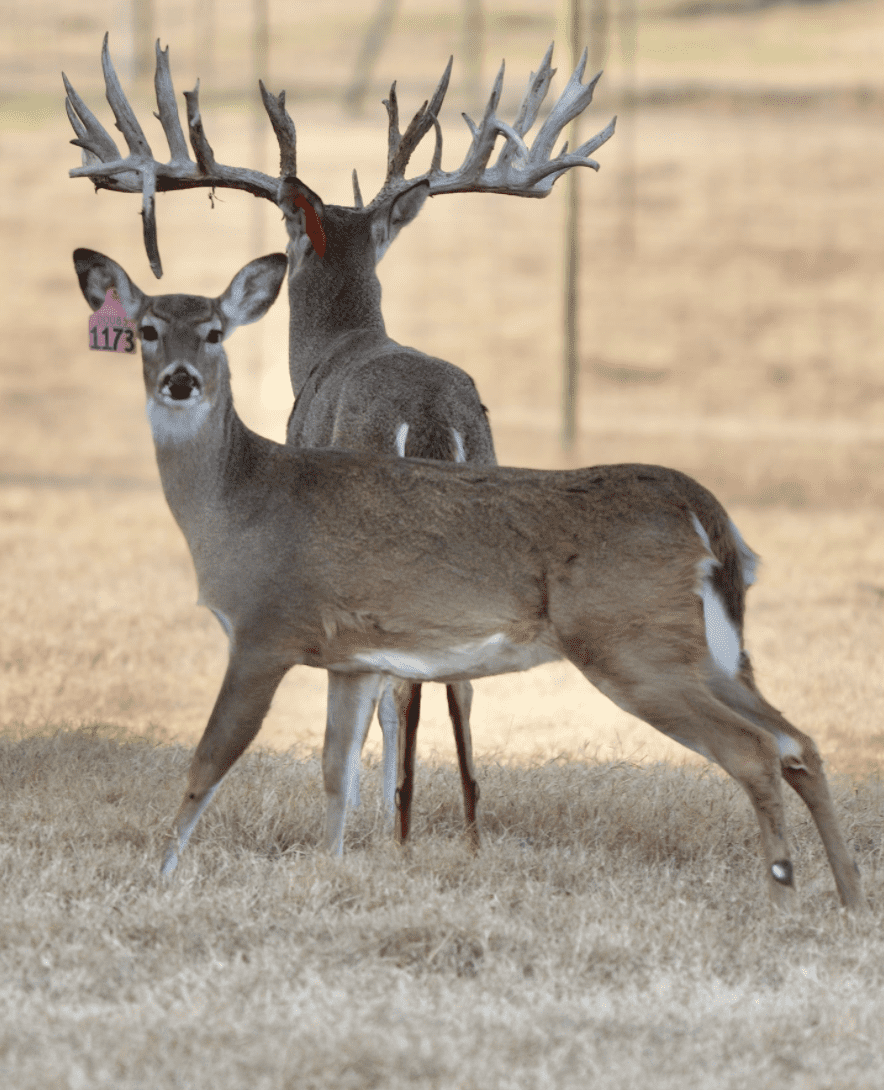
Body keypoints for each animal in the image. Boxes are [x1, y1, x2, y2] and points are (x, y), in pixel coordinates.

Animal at [63, 37, 617, 847]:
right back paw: (464, 827)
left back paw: (395, 821)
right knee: (459, 682)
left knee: (400, 686)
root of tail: (432, 418)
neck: (336, 347)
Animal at [72, 245, 863, 911]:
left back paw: (784, 892)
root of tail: (702, 509)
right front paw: (333, 874)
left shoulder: (265, 630)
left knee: (755, 750)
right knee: (801, 742)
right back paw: (851, 897)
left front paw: (158, 875)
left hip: (633, 644)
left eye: (213, 332)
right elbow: (337, 773)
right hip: (713, 651)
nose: (180, 381)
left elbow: (208, 759)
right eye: (147, 329)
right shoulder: (353, 656)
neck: (242, 501)